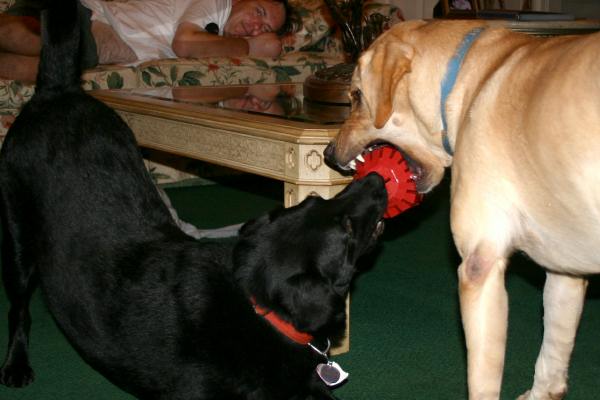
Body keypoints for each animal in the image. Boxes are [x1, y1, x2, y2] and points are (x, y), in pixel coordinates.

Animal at [0, 1, 386, 398]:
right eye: (345, 230)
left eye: (314, 201)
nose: (375, 178)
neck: (254, 302)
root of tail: (58, 90)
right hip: (16, 237)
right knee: (18, 308)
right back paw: (16, 364)